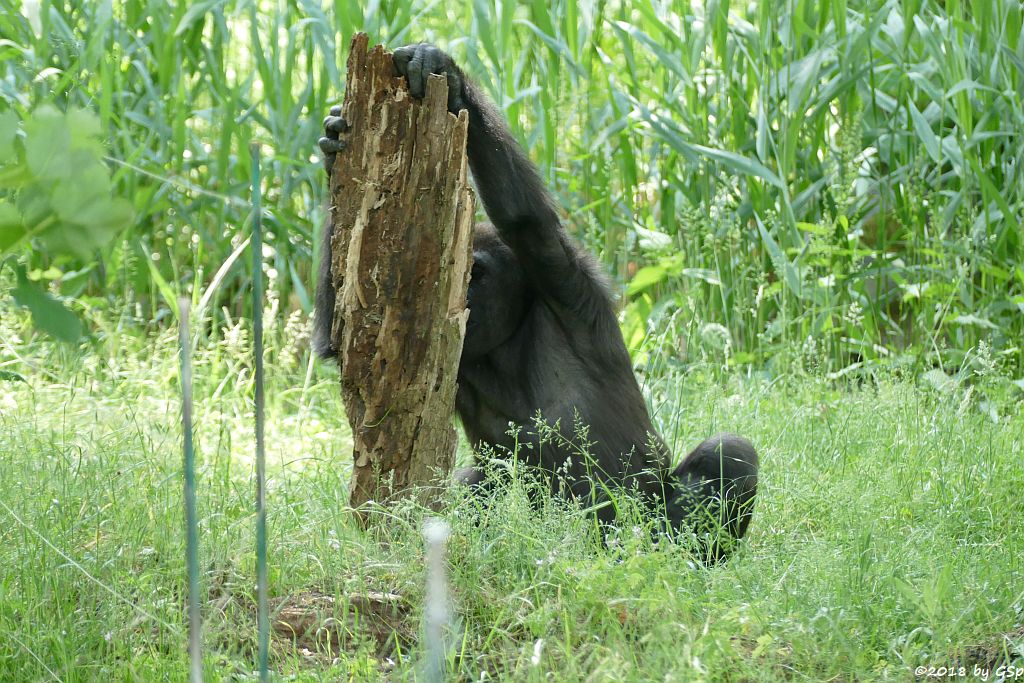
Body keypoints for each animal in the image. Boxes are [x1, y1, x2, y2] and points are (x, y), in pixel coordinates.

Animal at [315, 44, 757, 565]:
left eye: (477, 275)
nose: (463, 296)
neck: (511, 335)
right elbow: (343, 338)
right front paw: (334, 145)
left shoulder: (566, 280)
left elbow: (526, 220)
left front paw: (448, 75)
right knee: (481, 478)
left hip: (645, 532)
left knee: (726, 455)